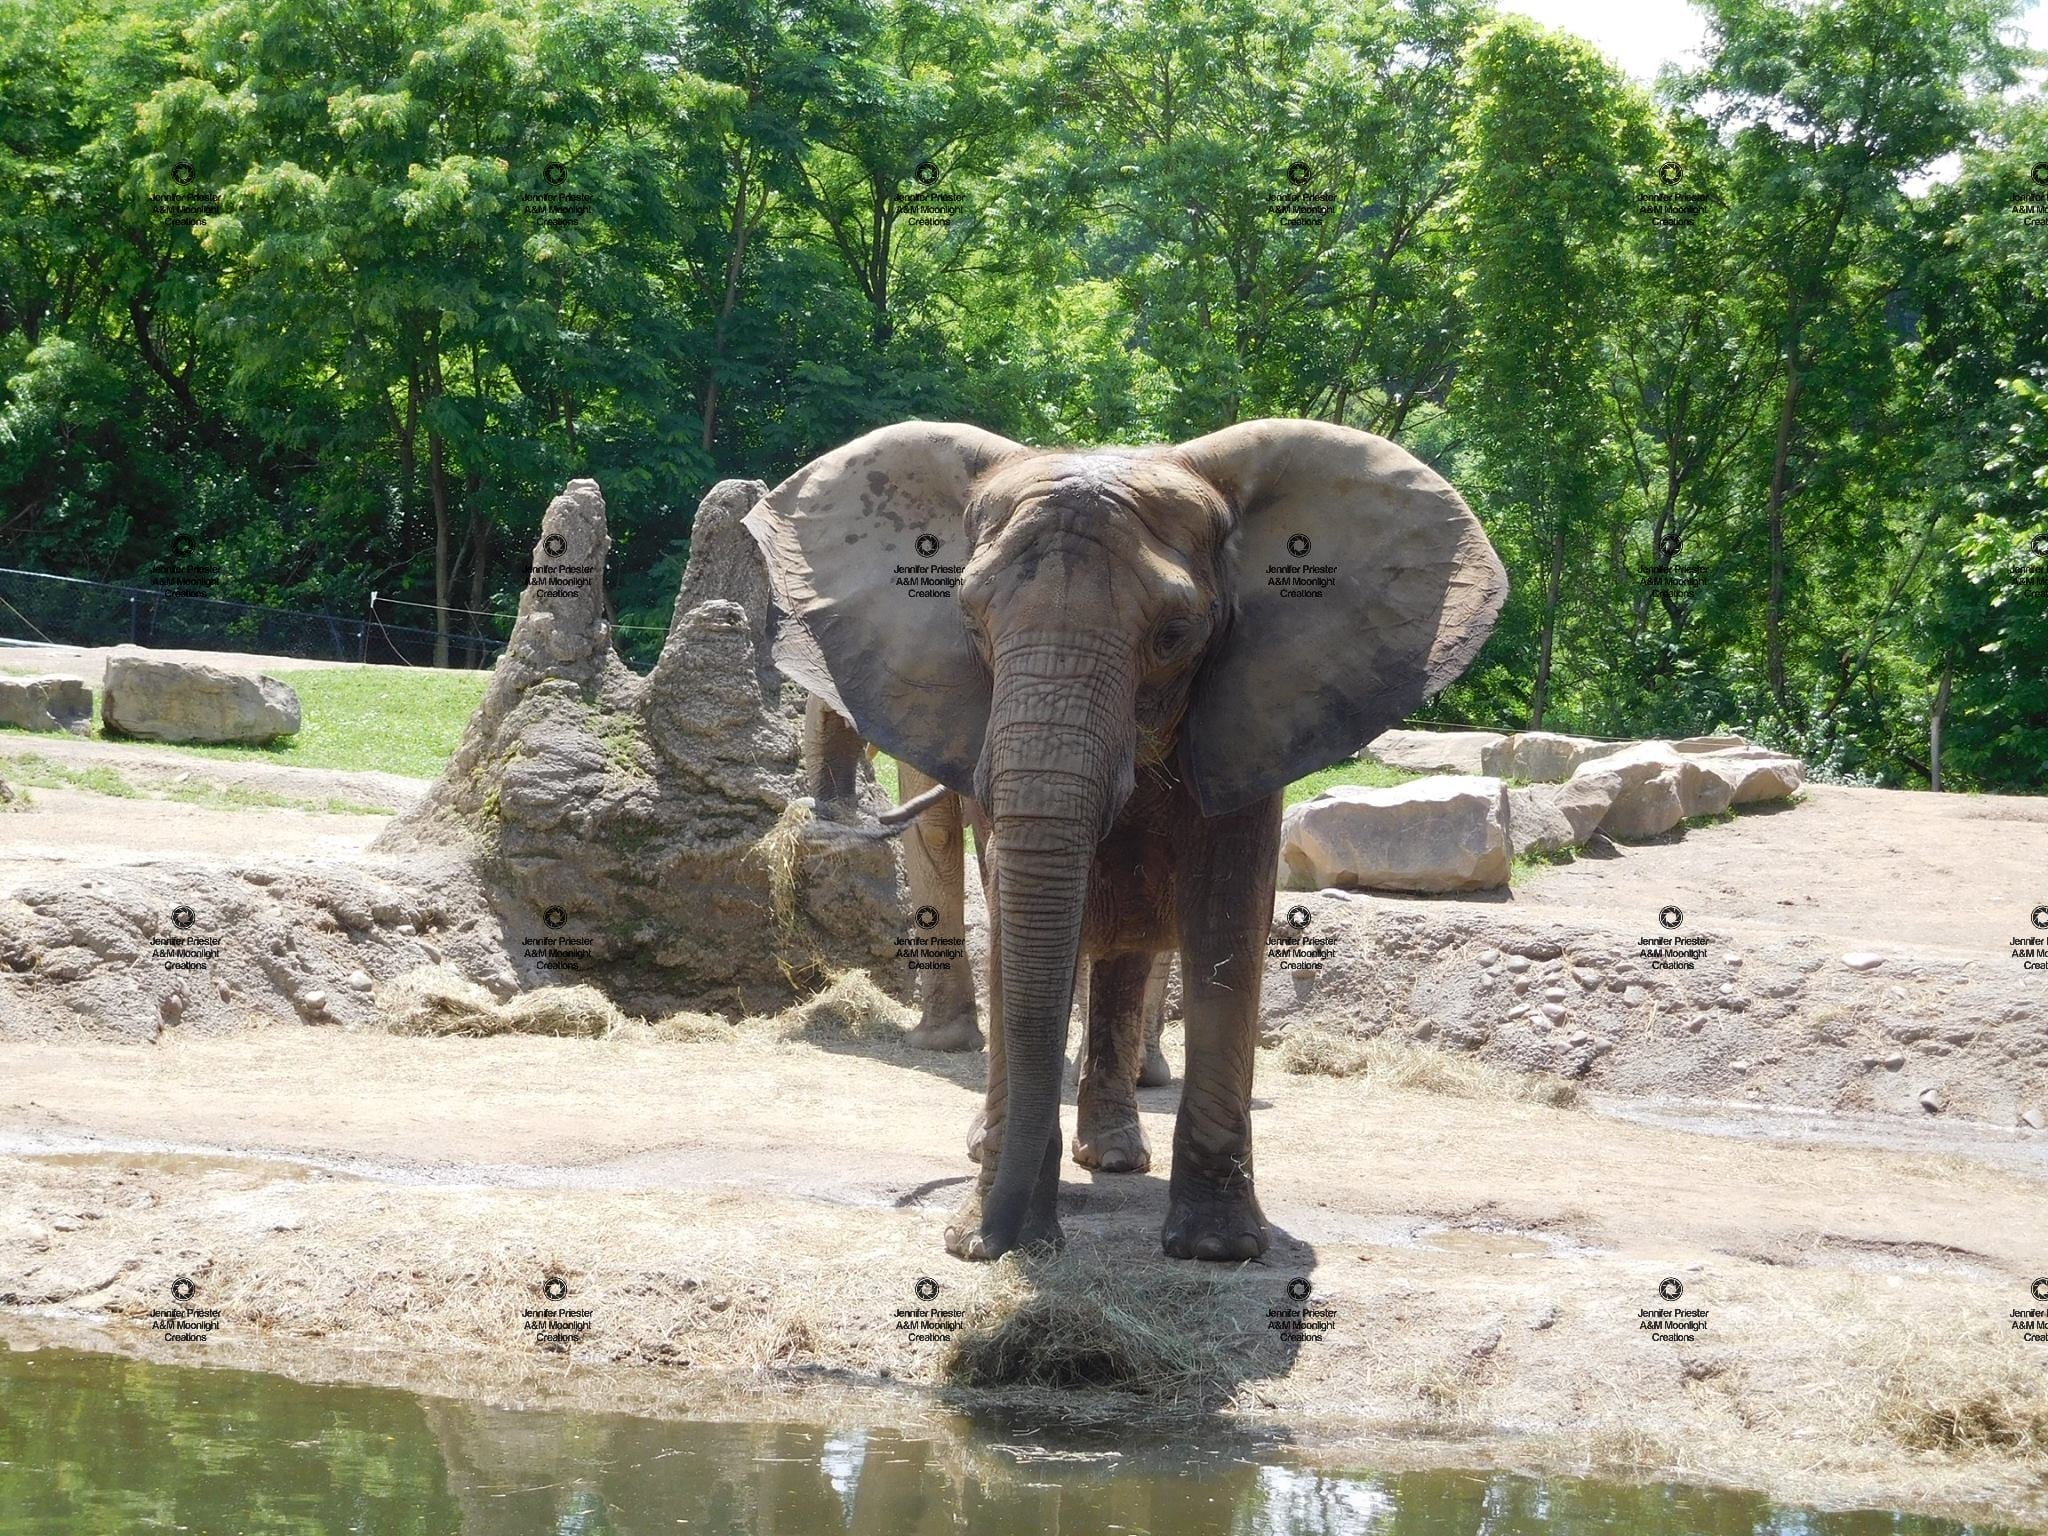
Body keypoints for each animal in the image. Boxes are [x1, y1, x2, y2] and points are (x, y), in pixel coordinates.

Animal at [741, 417, 1507, 1261]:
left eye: (1174, 635)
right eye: (969, 621)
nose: (986, 1246)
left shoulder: (1252, 713)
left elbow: (1227, 920)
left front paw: (1217, 1252)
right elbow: (1015, 910)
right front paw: (996, 1235)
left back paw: (1110, 1155)